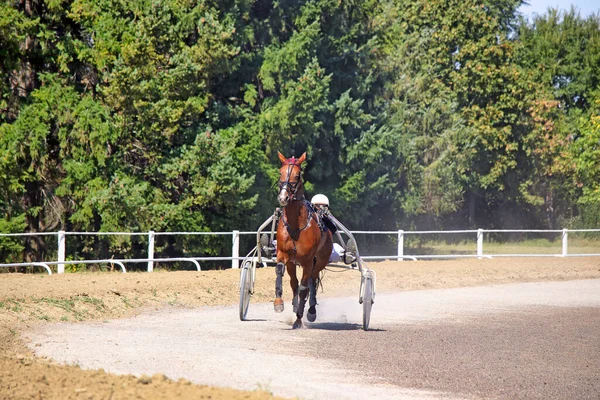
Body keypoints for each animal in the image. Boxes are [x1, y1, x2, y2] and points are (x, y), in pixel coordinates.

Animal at [274, 152, 336, 330]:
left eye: (297, 175)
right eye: (280, 172)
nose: (283, 197)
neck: (296, 225)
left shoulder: (308, 261)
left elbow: (303, 288)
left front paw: (299, 319)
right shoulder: (284, 256)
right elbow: (283, 274)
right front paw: (279, 303)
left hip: (320, 260)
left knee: (311, 282)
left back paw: (311, 310)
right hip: (294, 262)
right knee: (297, 283)